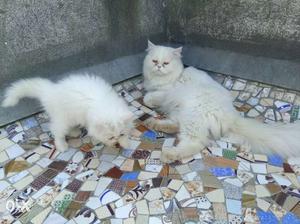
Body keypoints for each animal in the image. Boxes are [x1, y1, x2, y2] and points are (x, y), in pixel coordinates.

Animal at [1, 75, 132, 152]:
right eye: (110, 137)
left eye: (120, 134)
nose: (116, 143)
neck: (104, 104)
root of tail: (50, 91)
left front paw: (125, 143)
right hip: (62, 118)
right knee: (56, 131)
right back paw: (62, 146)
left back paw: (74, 132)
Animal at [142, 40, 300, 163]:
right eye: (154, 61)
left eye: (166, 63)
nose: (158, 67)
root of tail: (232, 116)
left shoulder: (167, 91)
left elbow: (148, 97)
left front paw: (151, 101)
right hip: (183, 113)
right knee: (175, 126)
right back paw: (153, 123)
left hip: (192, 115)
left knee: (194, 142)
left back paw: (169, 154)